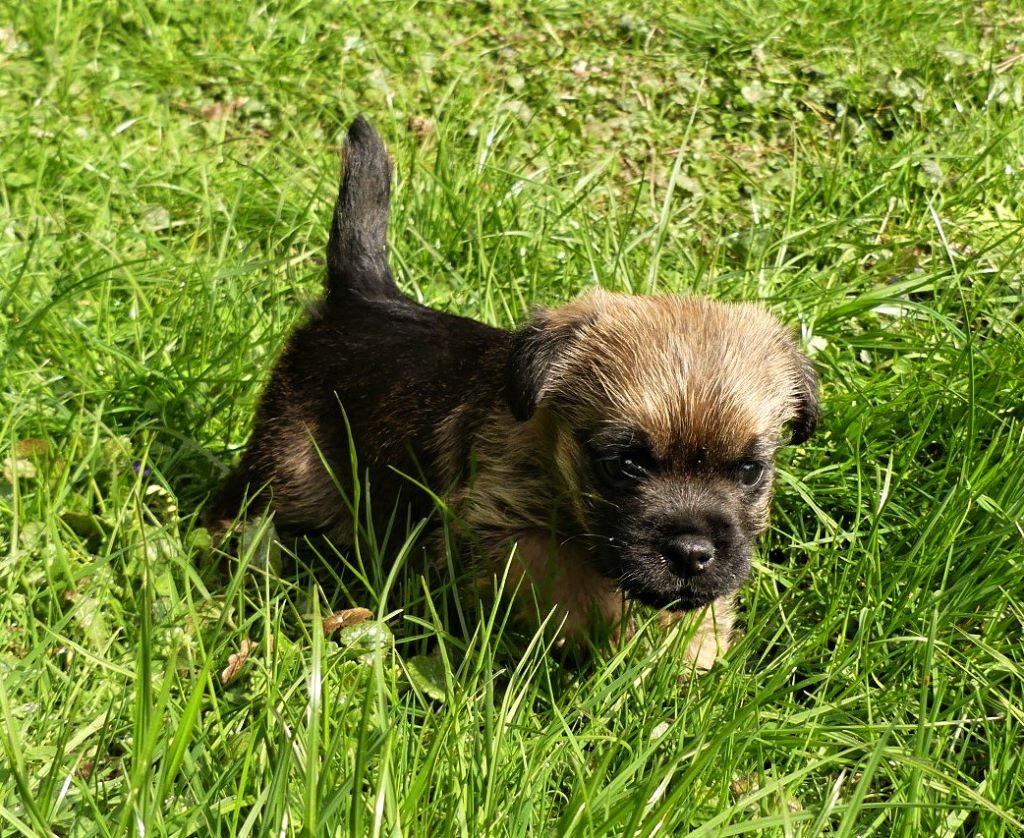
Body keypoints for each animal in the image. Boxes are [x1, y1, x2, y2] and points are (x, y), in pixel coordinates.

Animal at [211, 115, 819, 667]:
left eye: (750, 472)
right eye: (624, 465)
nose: (693, 553)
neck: (552, 466)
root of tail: (363, 297)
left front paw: (690, 662)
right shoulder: (500, 526)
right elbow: (563, 583)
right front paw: (600, 641)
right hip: (289, 468)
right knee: (240, 509)